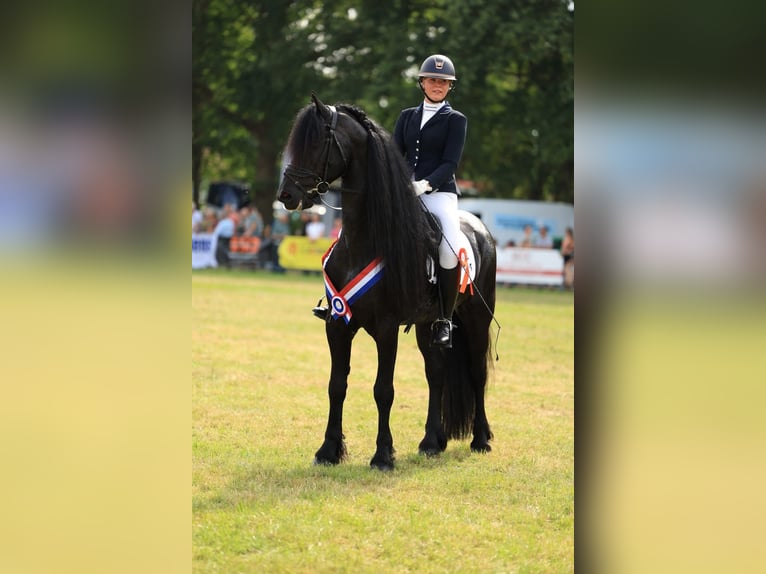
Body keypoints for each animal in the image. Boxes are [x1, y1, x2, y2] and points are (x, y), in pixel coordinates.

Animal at [277, 94, 496, 471]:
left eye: (316, 142)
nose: (287, 196)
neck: (363, 240)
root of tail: (480, 228)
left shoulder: (387, 327)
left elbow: (383, 389)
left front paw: (382, 456)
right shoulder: (337, 323)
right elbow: (336, 385)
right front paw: (328, 450)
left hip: (477, 317)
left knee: (476, 371)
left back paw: (480, 439)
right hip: (429, 324)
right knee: (436, 372)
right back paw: (431, 442)